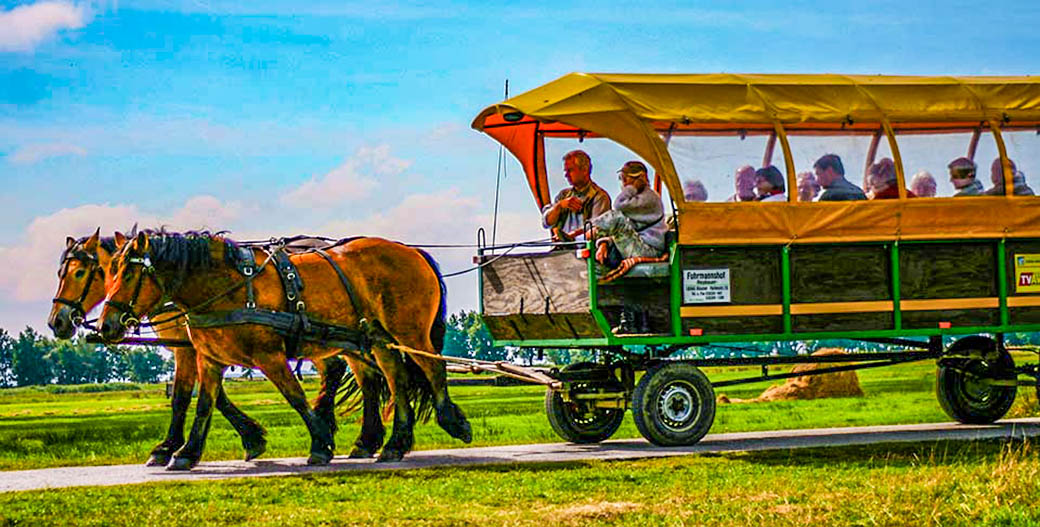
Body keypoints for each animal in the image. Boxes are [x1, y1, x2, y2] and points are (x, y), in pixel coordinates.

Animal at [47, 230, 278, 465]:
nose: (56, 321)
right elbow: (214, 396)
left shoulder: (187, 350)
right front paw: (251, 437)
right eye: (59, 273)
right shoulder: (200, 351)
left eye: (79, 273)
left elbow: (183, 397)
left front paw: (170, 447)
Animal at [97, 230, 472, 469]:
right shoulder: (211, 359)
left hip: (409, 332)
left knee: (432, 367)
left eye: (128, 274)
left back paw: (451, 421)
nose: (105, 325)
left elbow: (295, 397)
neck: (228, 286)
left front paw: (321, 443)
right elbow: (203, 404)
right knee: (395, 379)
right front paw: (187, 452)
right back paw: (394, 444)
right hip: (379, 339)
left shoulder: (269, 356)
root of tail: (411, 250)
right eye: (107, 272)